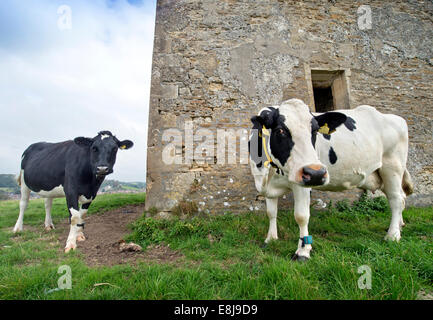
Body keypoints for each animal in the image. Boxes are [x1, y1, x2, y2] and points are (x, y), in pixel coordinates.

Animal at [248, 99, 414, 262]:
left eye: (315, 131)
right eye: (280, 131)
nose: (316, 173)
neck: (268, 171)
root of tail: (393, 117)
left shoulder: (302, 185)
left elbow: (301, 216)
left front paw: (303, 251)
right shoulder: (267, 186)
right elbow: (271, 212)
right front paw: (270, 239)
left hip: (392, 166)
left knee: (396, 199)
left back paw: (392, 235)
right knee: (401, 197)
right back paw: (399, 225)